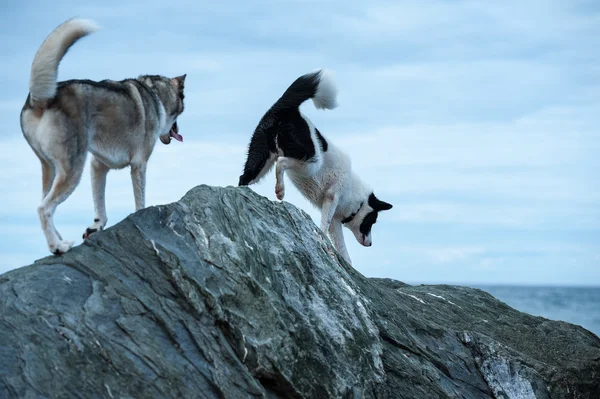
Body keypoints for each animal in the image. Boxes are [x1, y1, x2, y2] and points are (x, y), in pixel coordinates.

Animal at [21, 18, 185, 255]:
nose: (179, 130)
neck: (155, 95)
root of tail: (43, 98)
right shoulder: (139, 164)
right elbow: (140, 202)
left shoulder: (98, 165)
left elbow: (100, 207)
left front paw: (95, 228)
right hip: (72, 170)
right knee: (44, 208)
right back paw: (58, 246)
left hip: (50, 169)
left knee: (45, 205)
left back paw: (59, 240)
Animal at [239, 71, 394, 266]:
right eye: (372, 221)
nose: (371, 244)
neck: (356, 197)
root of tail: (286, 107)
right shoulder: (331, 198)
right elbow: (323, 227)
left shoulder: (335, 220)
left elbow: (343, 250)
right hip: (310, 162)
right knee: (281, 162)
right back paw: (280, 191)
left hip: (259, 160)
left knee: (243, 178)